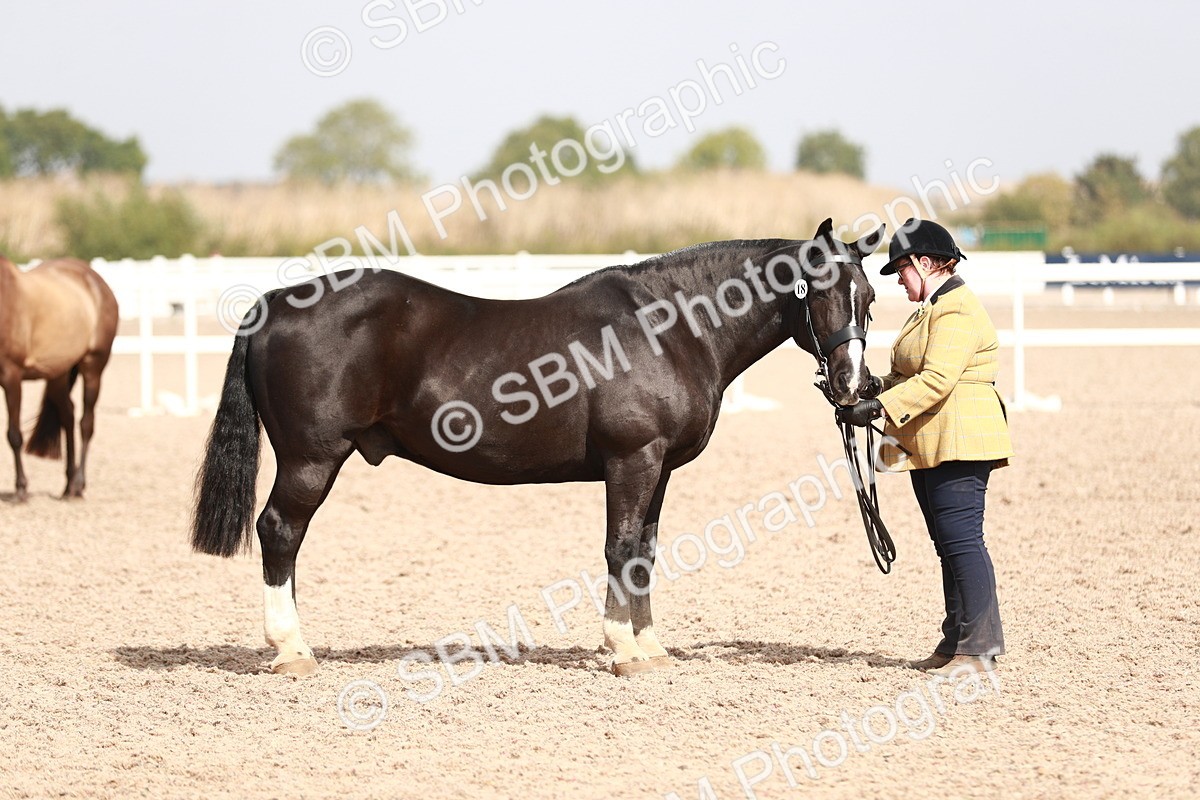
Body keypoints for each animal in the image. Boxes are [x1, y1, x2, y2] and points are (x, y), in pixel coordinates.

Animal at [0, 256, 119, 501]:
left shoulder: (11, 375)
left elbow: (14, 435)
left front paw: (21, 489)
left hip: (93, 368)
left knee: (86, 424)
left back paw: (78, 485)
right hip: (58, 374)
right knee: (68, 416)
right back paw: (68, 485)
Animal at [191, 218, 884, 676]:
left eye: (869, 296)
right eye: (818, 290)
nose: (855, 387)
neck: (669, 328)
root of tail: (275, 303)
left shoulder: (659, 469)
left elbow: (646, 553)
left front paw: (651, 647)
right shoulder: (632, 459)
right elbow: (619, 548)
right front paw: (623, 651)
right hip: (312, 458)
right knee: (280, 531)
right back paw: (292, 650)